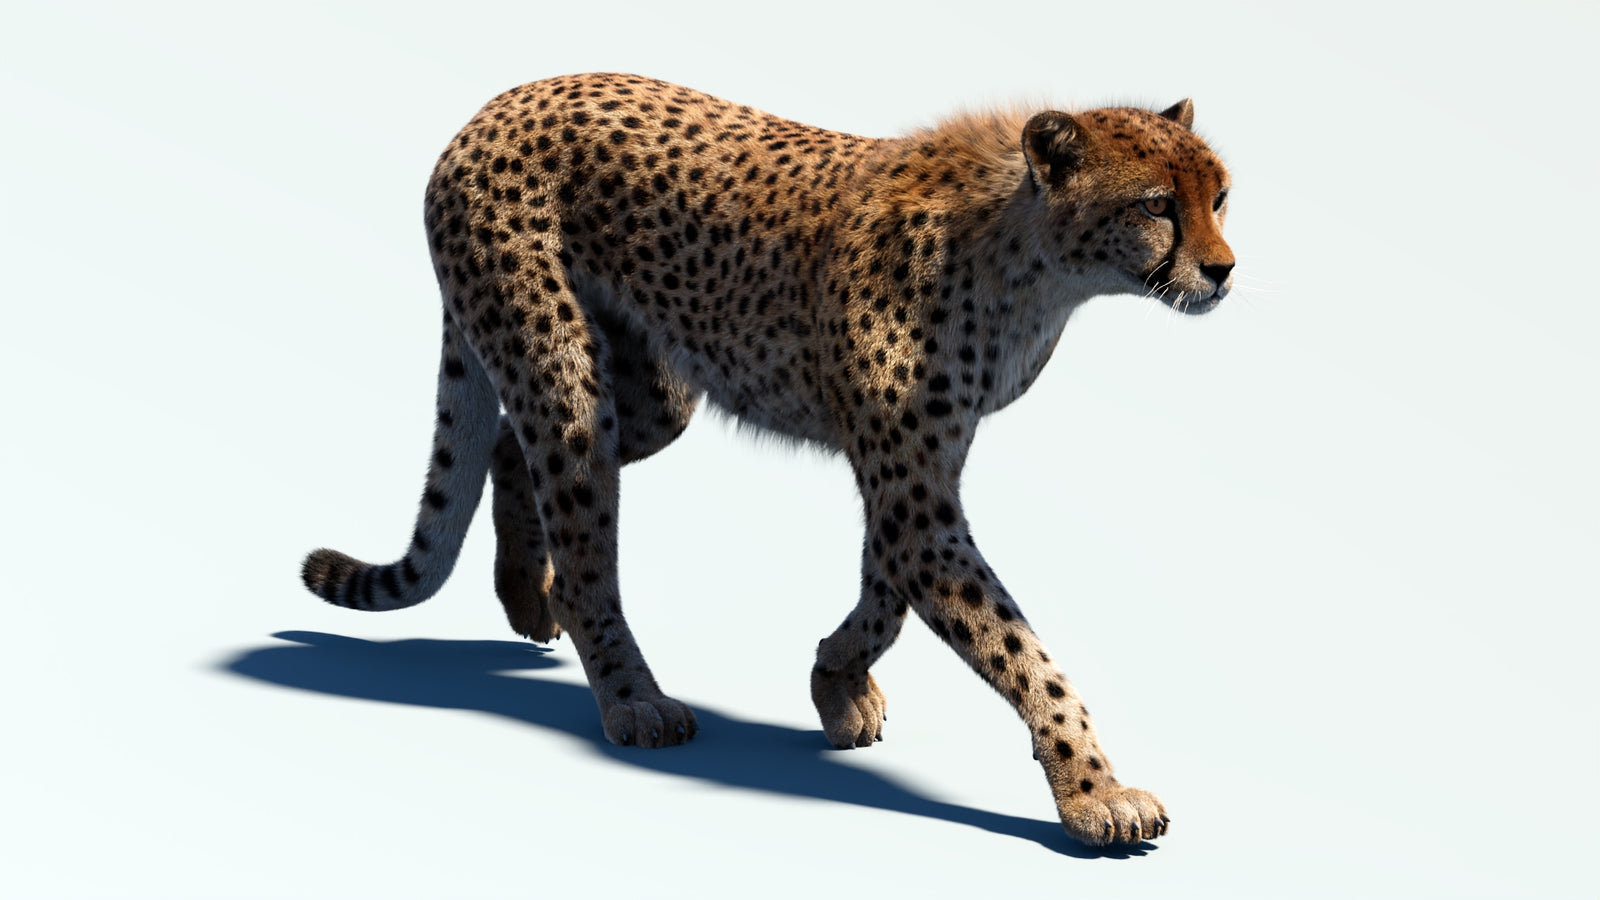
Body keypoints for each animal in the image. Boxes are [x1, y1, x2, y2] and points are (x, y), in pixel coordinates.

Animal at [300, 73, 1234, 848]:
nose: (1223, 270)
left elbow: (885, 598)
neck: (1032, 261)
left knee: (505, 445)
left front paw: (835, 681)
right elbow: (1017, 648)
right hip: (563, 373)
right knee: (583, 548)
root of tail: (498, 103)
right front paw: (1095, 792)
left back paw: (525, 593)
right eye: (1158, 204)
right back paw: (633, 698)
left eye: (1221, 196)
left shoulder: (918, 472)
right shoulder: (912, 491)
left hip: (651, 395)